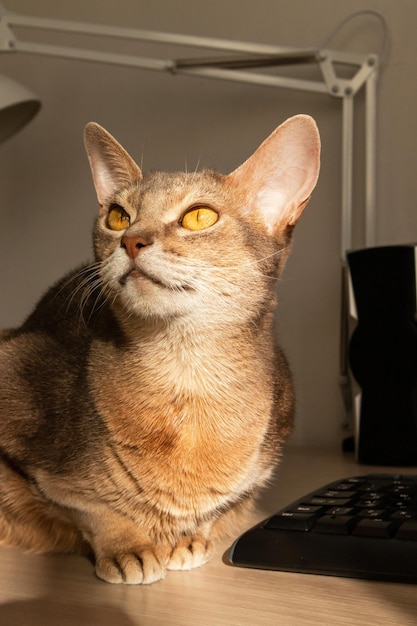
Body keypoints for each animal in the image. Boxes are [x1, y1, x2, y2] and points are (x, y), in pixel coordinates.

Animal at [0, 114, 320, 584]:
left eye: (199, 216)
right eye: (118, 216)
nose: (131, 240)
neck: (186, 377)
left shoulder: (259, 467)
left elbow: (224, 505)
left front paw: (192, 537)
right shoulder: (18, 377)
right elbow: (85, 505)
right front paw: (127, 546)